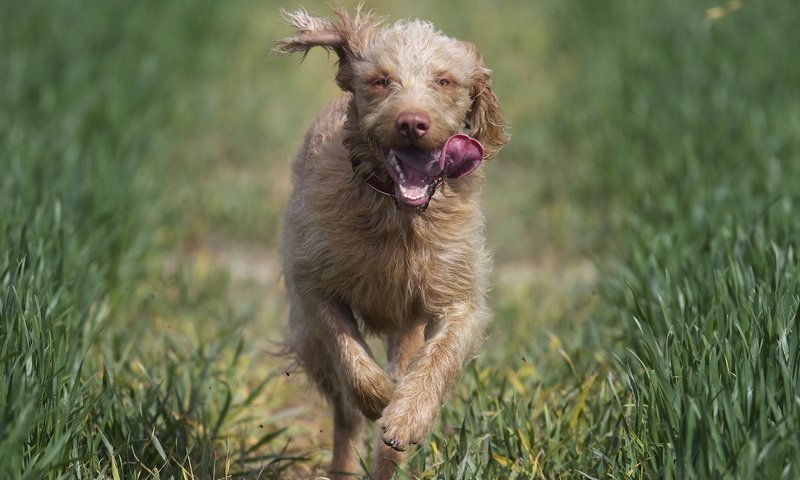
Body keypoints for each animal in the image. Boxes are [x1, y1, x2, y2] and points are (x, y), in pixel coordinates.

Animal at [272, 8, 504, 480]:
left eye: (443, 81)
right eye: (381, 81)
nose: (411, 123)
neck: (398, 215)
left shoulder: (459, 299)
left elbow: (440, 356)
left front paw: (406, 414)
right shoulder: (314, 288)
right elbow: (348, 349)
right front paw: (380, 396)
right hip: (309, 343)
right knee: (343, 413)